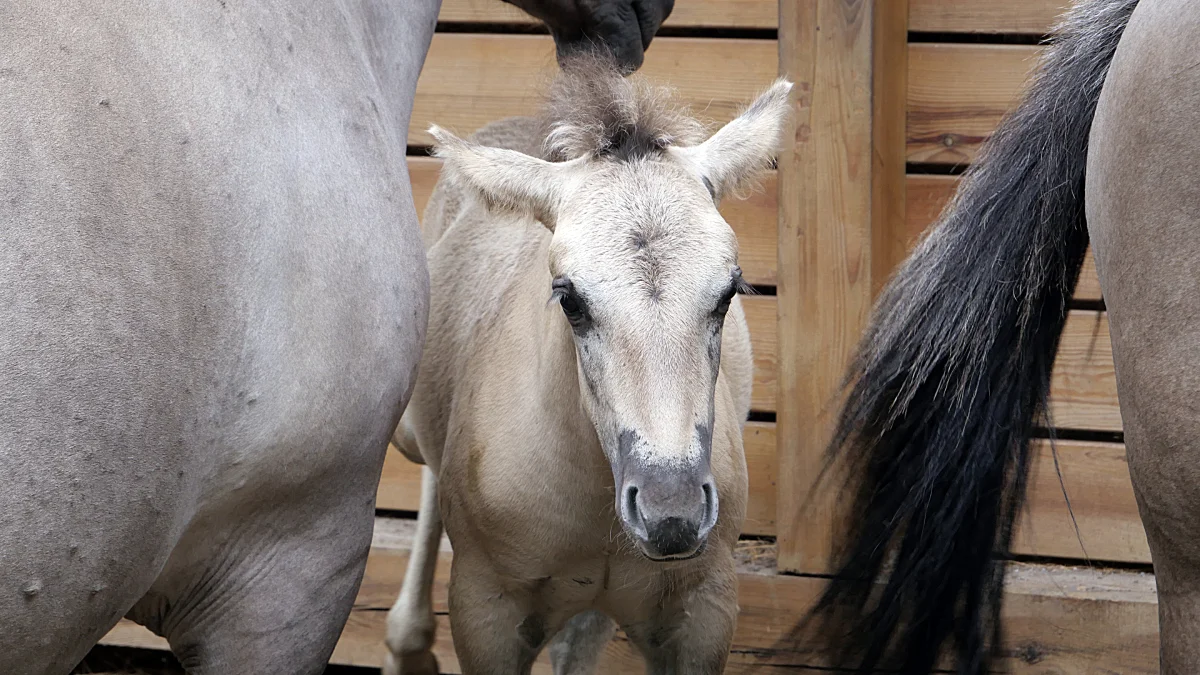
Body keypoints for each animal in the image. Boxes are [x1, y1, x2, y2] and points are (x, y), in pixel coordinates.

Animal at [388, 57, 792, 672]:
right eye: (570, 300)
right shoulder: (485, 608)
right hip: (410, 434)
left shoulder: (704, 608)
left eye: (728, 292)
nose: (670, 513)